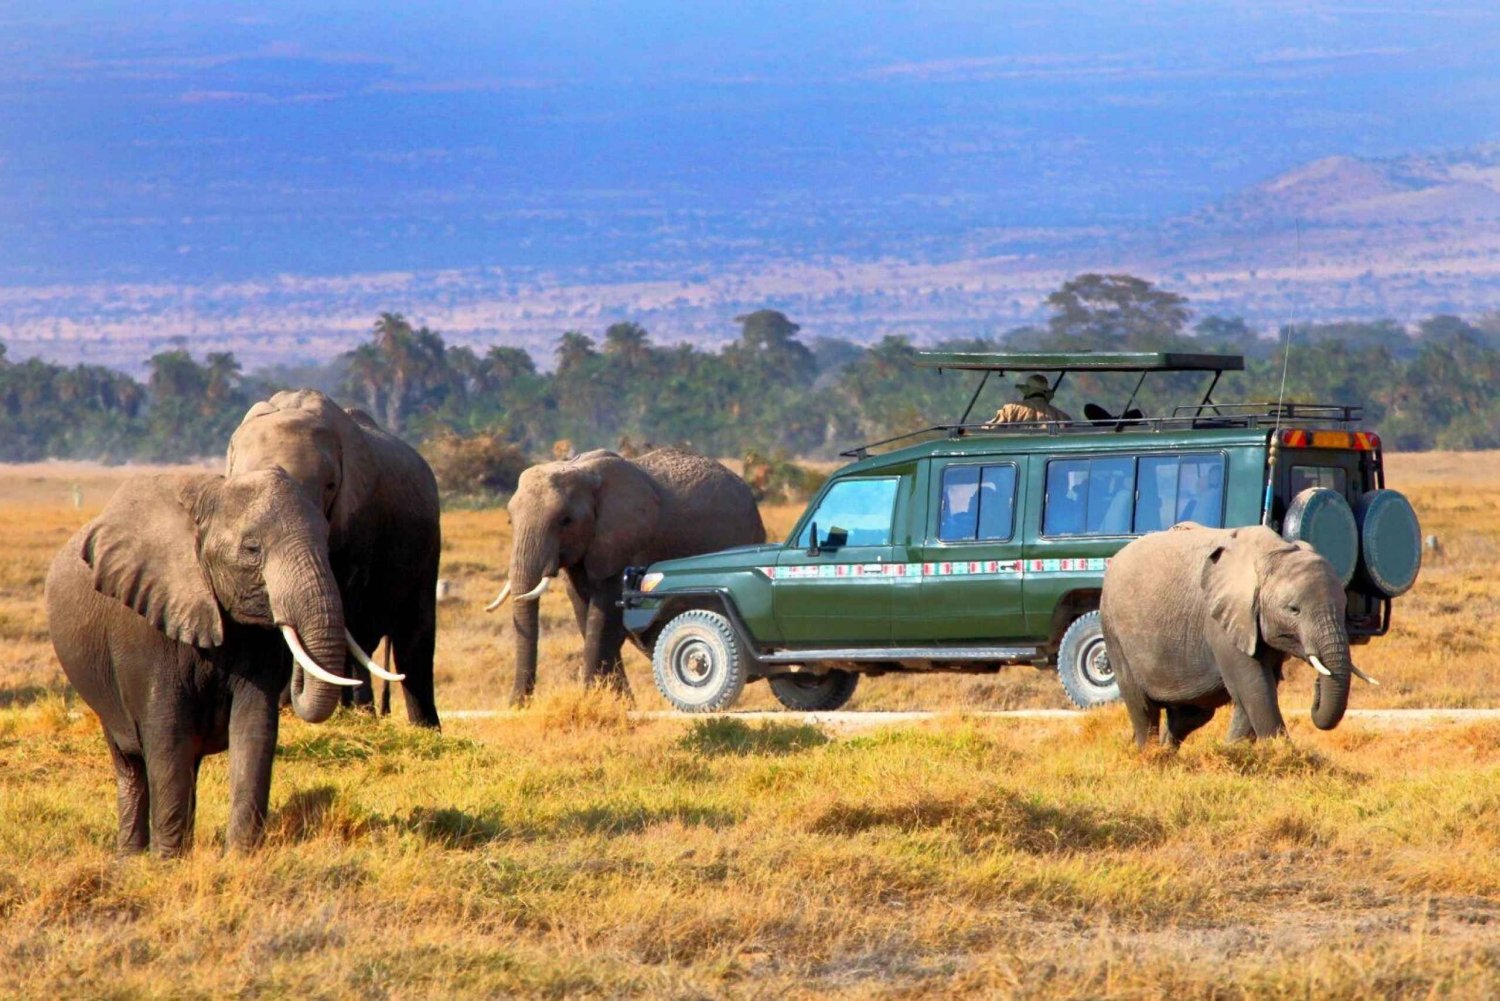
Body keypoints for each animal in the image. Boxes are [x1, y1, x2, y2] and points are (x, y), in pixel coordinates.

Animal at [46, 474, 369, 858]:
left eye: (326, 538)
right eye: (252, 549)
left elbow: (254, 728)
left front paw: (240, 857)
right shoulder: (145, 629)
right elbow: (167, 734)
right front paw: (167, 862)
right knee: (131, 763)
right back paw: (130, 858)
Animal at [489, 447, 768, 705]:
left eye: (565, 521)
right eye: (510, 521)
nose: (517, 706)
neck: (581, 470)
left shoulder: (629, 542)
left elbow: (605, 618)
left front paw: (593, 700)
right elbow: (585, 613)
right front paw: (617, 703)